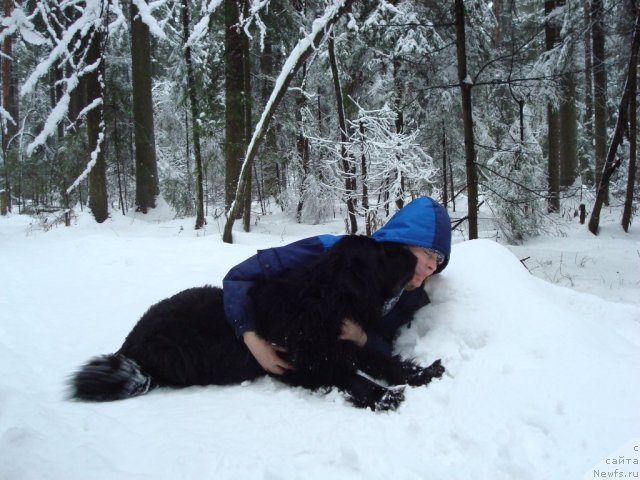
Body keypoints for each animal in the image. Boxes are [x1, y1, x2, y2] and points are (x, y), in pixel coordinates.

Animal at [69, 234, 440, 410]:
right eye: (381, 255)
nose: (410, 254)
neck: (326, 300)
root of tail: (129, 344)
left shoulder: (344, 342)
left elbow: (383, 360)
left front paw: (421, 373)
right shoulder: (307, 363)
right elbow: (351, 377)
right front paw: (384, 396)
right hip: (176, 353)